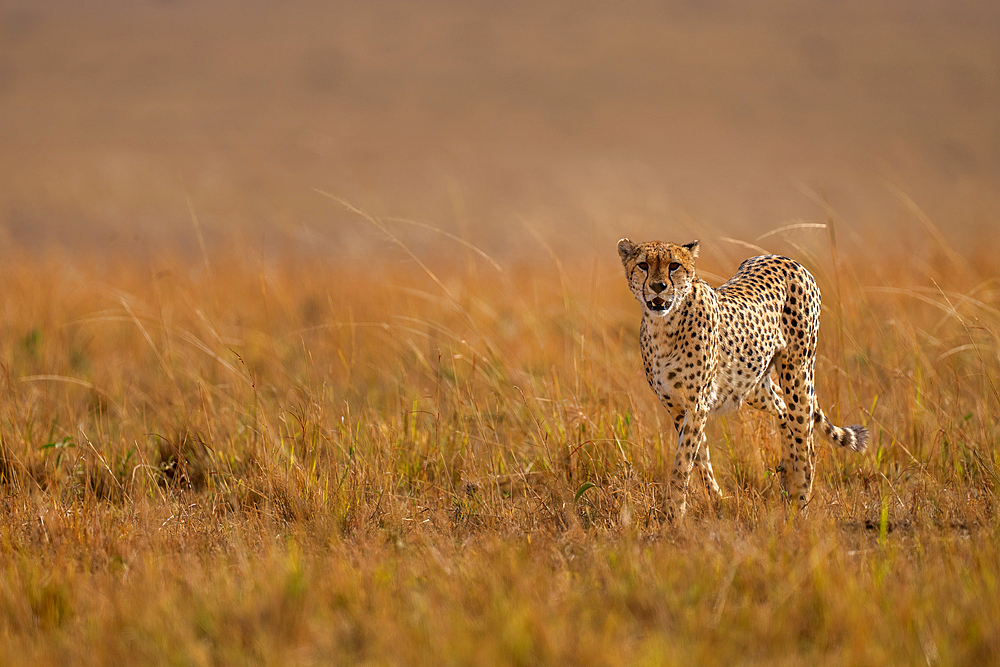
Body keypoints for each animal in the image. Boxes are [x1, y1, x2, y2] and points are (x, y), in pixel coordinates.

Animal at [616, 240, 868, 520]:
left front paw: (673, 511)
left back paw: (800, 503)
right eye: (643, 265)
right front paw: (715, 499)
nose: (658, 286)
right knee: (783, 410)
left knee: (806, 437)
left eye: (674, 265)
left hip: (797, 372)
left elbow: (684, 460)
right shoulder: (678, 408)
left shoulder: (697, 404)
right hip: (752, 384)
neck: (664, 325)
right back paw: (786, 476)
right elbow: (699, 457)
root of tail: (785, 258)